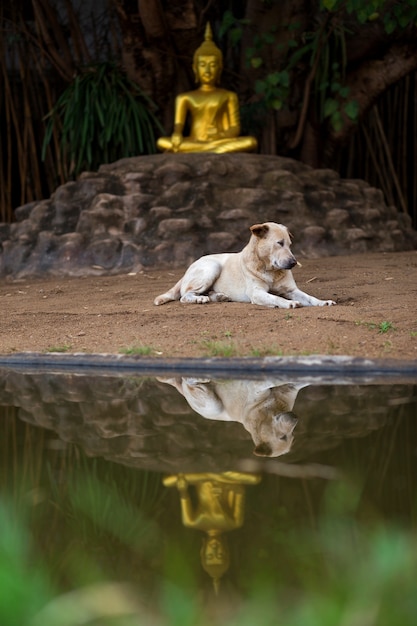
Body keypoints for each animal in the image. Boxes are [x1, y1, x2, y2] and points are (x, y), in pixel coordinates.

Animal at [154, 222, 336, 308]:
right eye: (279, 243)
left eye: (290, 245)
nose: (293, 263)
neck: (269, 270)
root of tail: (189, 268)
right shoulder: (256, 293)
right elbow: (275, 297)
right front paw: (287, 303)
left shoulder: (292, 290)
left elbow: (310, 297)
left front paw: (323, 302)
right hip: (212, 267)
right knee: (185, 296)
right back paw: (200, 299)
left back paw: (219, 296)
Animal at [156, 372, 306, 456]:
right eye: (282, 437)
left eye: (291, 436)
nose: (295, 417)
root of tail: (179, 389)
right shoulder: (257, 387)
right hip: (214, 406)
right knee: (190, 381)